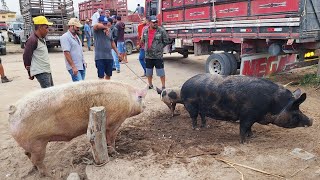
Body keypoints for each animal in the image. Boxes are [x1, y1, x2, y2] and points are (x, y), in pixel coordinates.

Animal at [181, 74, 314, 143]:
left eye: (299, 110)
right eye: (295, 113)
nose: (311, 121)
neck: (274, 104)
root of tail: (184, 84)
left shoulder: (253, 117)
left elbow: (250, 127)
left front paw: (253, 136)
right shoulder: (247, 115)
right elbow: (243, 127)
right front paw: (244, 142)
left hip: (201, 108)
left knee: (202, 115)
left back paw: (206, 126)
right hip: (190, 105)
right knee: (193, 117)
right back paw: (196, 129)